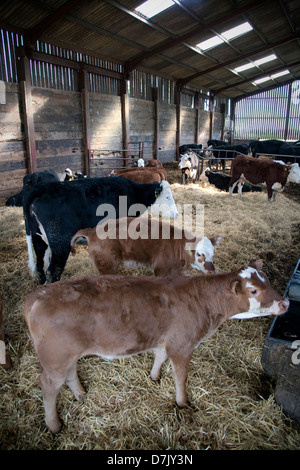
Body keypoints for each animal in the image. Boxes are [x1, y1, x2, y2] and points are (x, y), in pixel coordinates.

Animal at [24, 178, 178, 284]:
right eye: (167, 197)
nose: (177, 214)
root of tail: (43, 188)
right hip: (60, 243)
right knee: (53, 271)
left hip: (39, 240)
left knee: (41, 266)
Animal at [24, 260, 290, 434]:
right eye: (253, 290)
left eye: (268, 281)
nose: (285, 303)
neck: (202, 300)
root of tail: (39, 293)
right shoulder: (182, 344)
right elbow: (181, 376)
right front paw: (182, 403)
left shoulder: (166, 340)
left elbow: (160, 357)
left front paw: (154, 377)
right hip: (56, 358)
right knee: (49, 385)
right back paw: (54, 425)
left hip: (66, 356)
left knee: (69, 375)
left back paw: (81, 395)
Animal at [71, 217, 223, 276]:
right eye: (198, 254)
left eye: (213, 253)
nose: (212, 272)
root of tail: (92, 231)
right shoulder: (160, 271)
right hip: (106, 266)